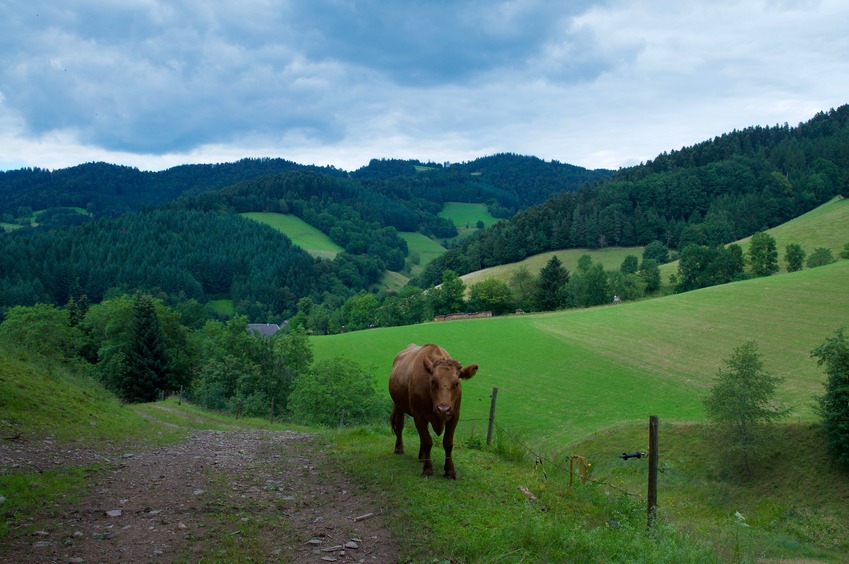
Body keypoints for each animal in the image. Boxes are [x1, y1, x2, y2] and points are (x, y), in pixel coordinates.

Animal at [390, 342, 476, 478]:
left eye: (457, 383)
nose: (443, 409)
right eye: (433, 381)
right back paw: (399, 449)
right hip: (398, 405)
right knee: (399, 426)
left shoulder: (455, 415)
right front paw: (428, 469)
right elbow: (427, 440)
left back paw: (422, 456)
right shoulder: (418, 414)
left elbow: (448, 442)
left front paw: (450, 470)